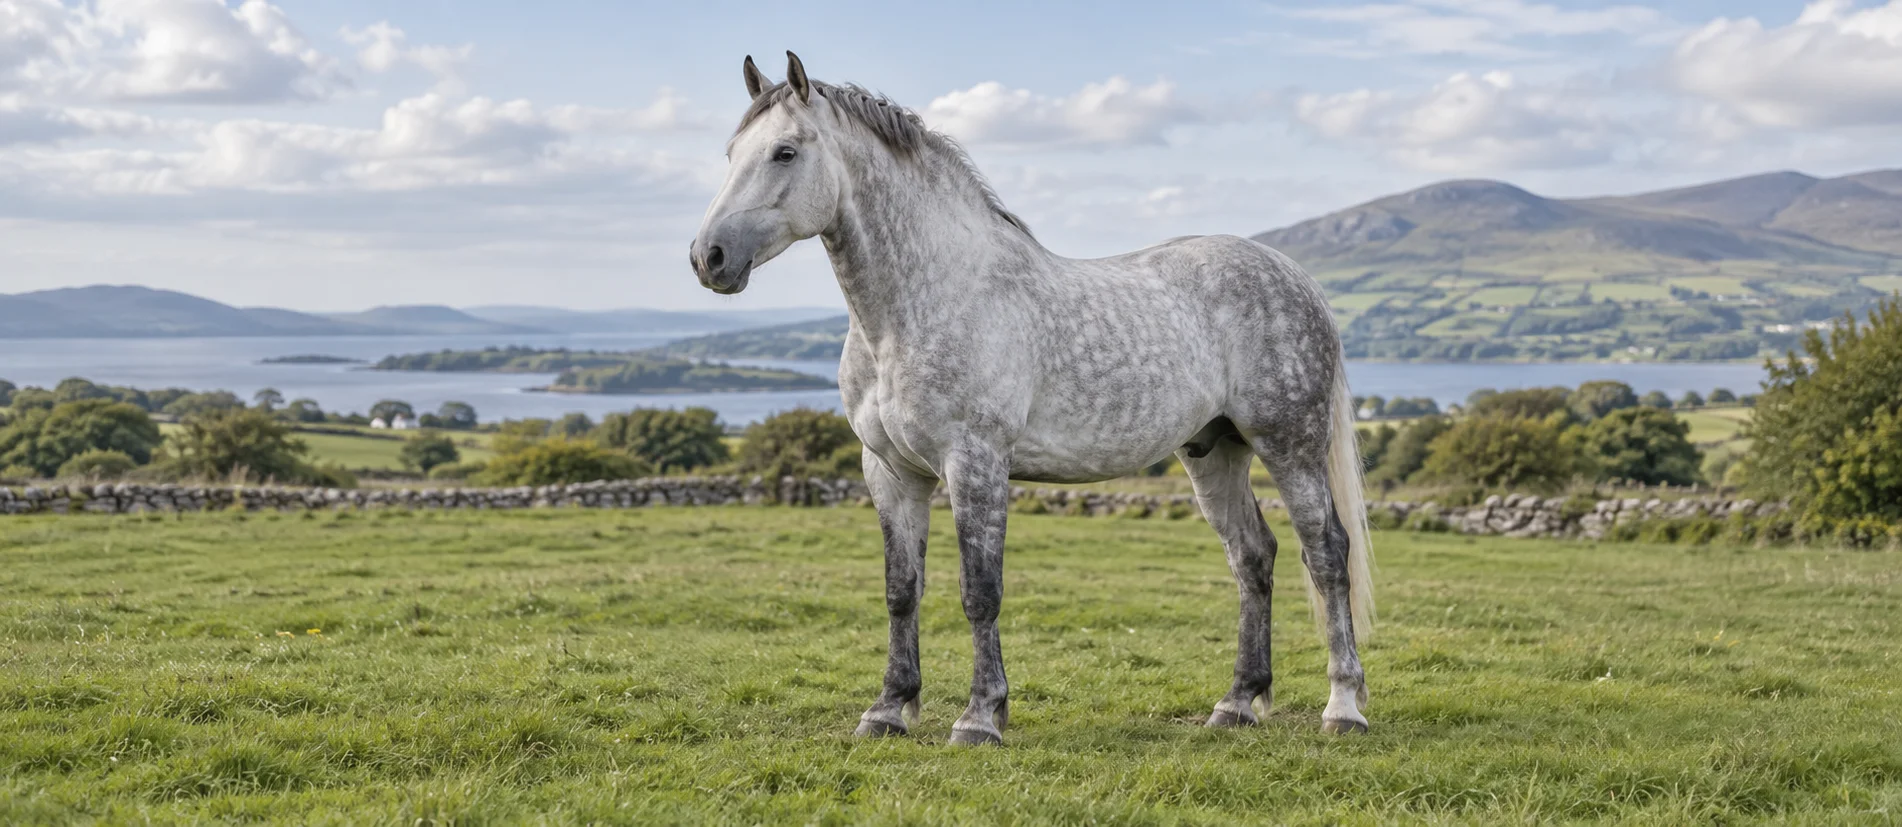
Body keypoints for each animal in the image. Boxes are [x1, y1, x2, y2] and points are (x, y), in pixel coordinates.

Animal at [690, 53, 1374, 745]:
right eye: (731, 153)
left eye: (785, 152)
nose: (707, 257)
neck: (920, 306)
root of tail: (1297, 277)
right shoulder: (890, 471)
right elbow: (901, 589)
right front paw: (887, 709)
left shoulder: (976, 462)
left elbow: (979, 590)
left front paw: (980, 716)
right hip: (1215, 451)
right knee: (1253, 557)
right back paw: (1236, 703)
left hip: (1289, 446)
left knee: (1327, 554)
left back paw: (1343, 707)